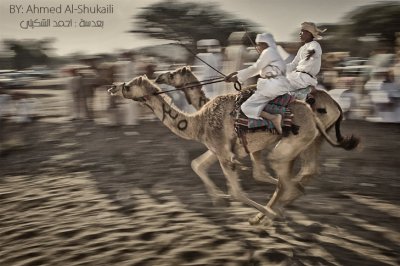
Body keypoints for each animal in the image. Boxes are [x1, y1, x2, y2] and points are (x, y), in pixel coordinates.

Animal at [108, 75, 356, 220]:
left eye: (128, 85)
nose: (112, 87)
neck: (197, 122)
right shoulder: (220, 149)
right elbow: (197, 165)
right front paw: (218, 199)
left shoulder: (224, 152)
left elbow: (237, 190)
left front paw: (263, 212)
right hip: (308, 141)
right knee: (301, 174)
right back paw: (284, 202)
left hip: (296, 142)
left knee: (288, 177)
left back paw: (268, 214)